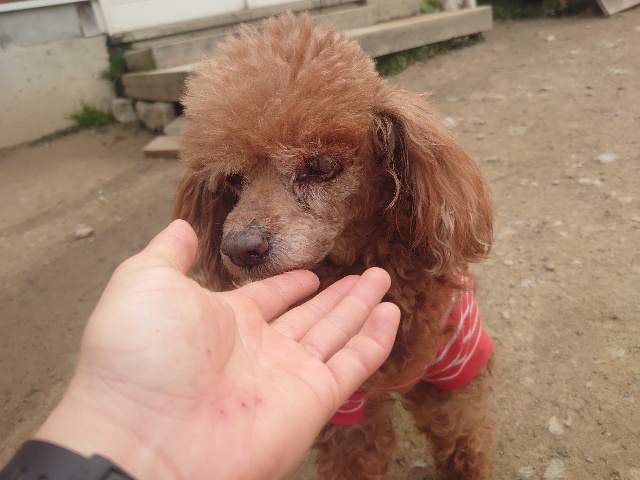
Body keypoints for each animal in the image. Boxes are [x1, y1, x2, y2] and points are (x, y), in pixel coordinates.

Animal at [174, 13, 495, 480]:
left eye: (321, 166)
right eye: (233, 179)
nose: (239, 249)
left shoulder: (455, 364)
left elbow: (462, 436)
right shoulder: (346, 407)